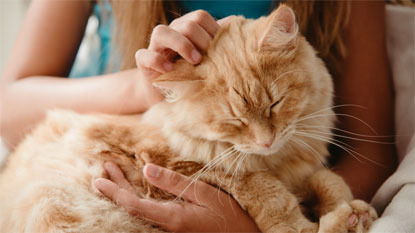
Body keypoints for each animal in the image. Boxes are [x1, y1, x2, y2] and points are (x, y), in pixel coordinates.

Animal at [0, 5, 376, 233]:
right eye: (235, 121)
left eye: (275, 104)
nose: (266, 141)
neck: (277, 161)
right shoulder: (183, 166)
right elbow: (269, 194)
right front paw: (320, 219)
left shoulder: (300, 169)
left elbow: (327, 180)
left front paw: (352, 208)